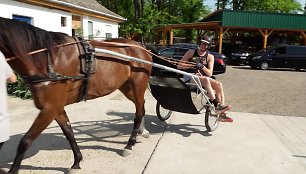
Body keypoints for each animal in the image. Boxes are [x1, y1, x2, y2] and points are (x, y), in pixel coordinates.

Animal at [0, 17, 152, 173]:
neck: (46, 60)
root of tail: (141, 47)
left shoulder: (49, 109)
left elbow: (25, 141)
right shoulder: (56, 108)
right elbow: (69, 133)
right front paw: (77, 161)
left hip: (138, 85)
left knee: (139, 111)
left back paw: (130, 144)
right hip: (126, 87)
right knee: (141, 108)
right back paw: (141, 132)